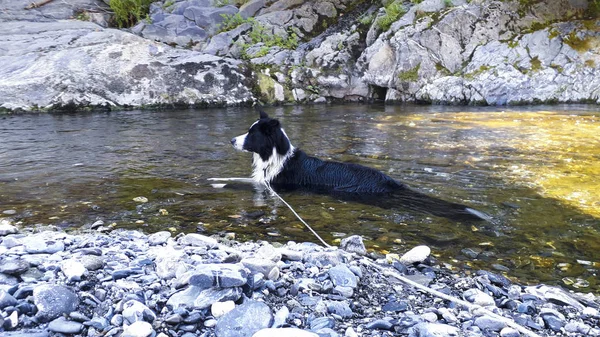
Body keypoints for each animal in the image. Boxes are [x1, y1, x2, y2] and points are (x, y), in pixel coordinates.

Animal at [218, 107, 490, 220]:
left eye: (252, 134)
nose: (231, 139)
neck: (275, 156)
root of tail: (391, 183)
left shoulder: (273, 186)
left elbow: (238, 183)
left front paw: (220, 184)